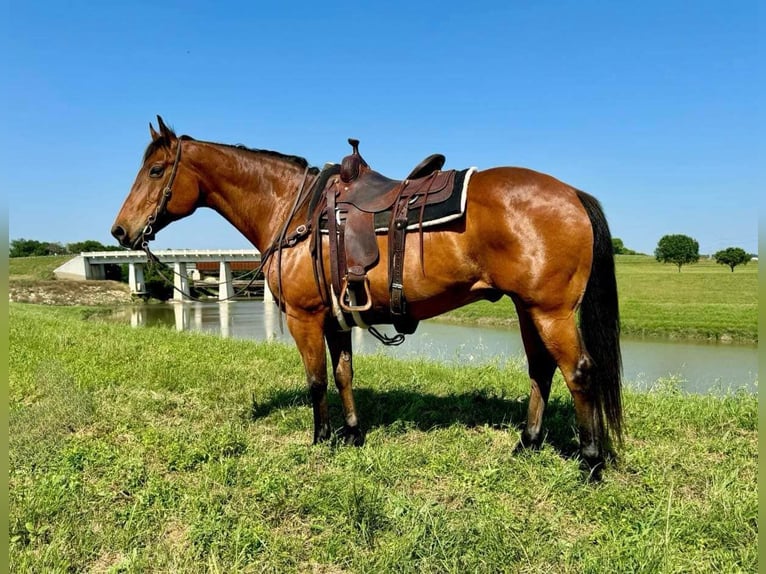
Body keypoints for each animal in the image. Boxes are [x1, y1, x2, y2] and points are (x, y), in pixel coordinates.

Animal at [112, 116, 622, 475]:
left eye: (155, 170)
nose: (120, 231)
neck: (293, 210)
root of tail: (572, 193)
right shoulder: (335, 317)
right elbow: (343, 375)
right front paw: (353, 434)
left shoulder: (304, 317)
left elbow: (316, 380)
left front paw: (320, 438)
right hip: (527, 308)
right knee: (541, 370)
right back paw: (527, 444)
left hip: (550, 312)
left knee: (578, 372)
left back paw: (591, 461)